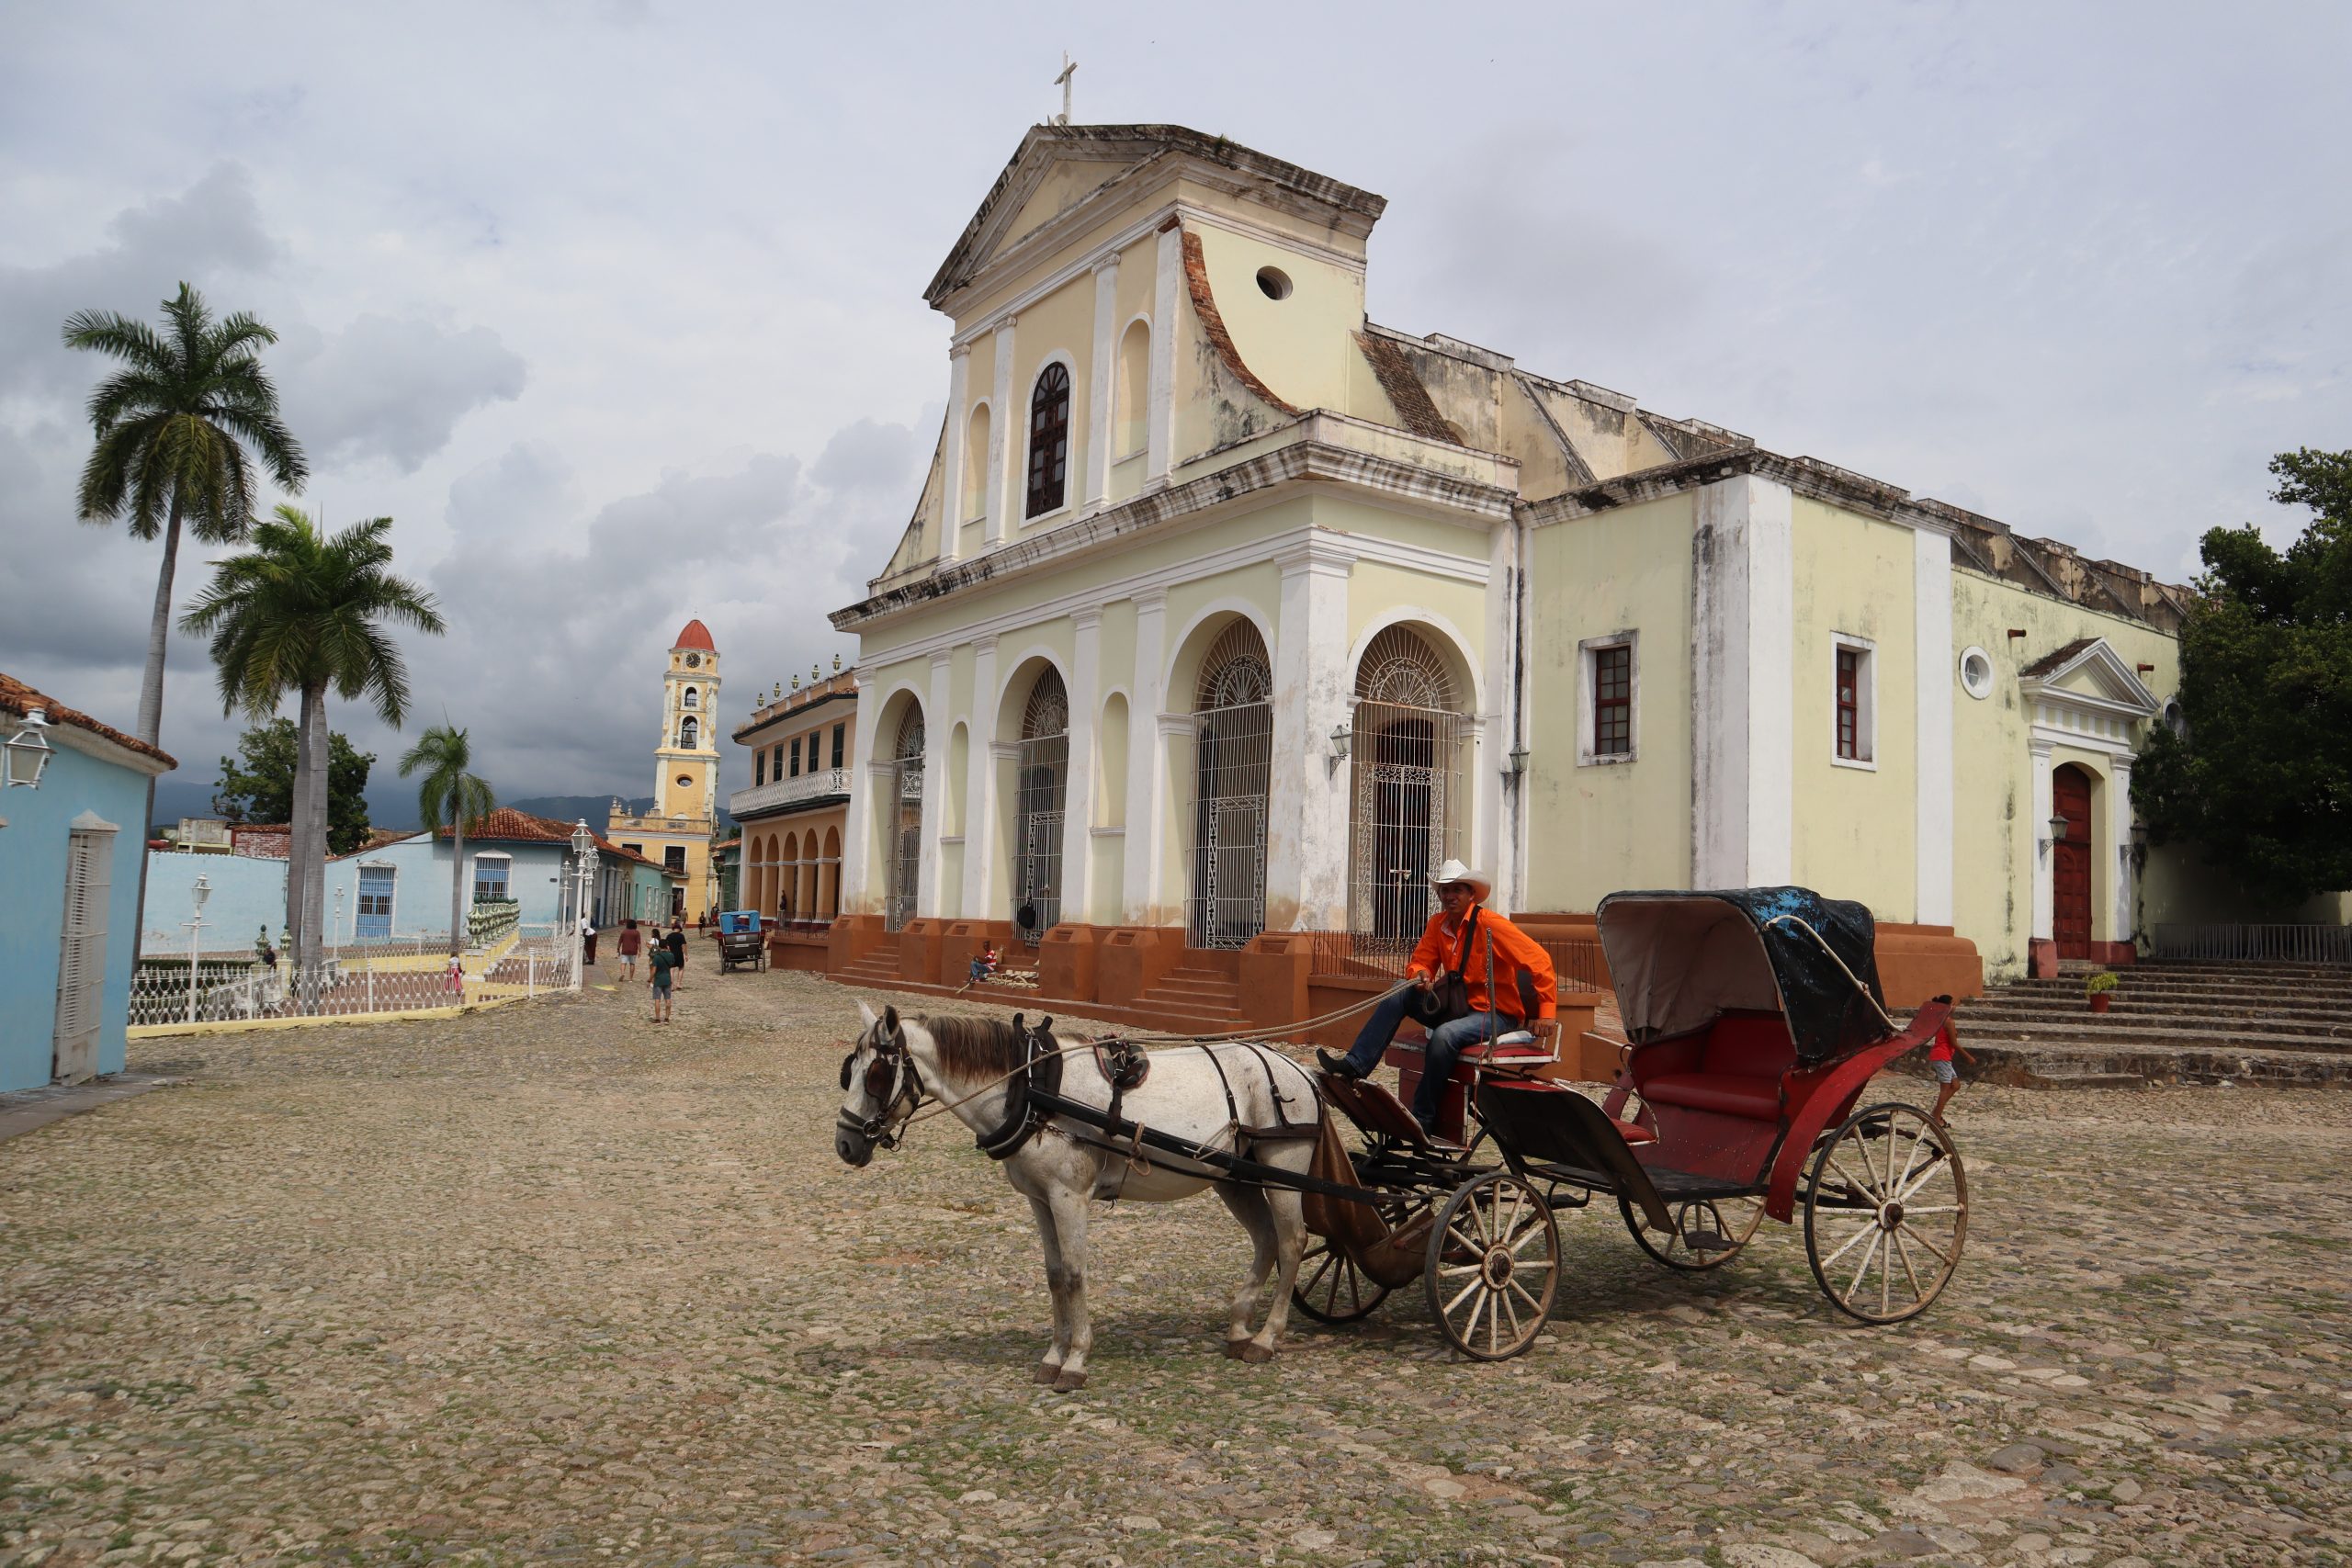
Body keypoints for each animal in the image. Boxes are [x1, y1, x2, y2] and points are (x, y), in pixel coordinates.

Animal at [837, 1006, 1326, 1382]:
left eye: (877, 1074)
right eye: (850, 1072)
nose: (844, 1143)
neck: (1031, 1088)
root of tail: (1299, 1069)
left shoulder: (1068, 1196)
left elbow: (1074, 1274)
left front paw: (1075, 1360)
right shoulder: (1039, 1199)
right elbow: (1054, 1275)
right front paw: (1053, 1356)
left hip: (1283, 1170)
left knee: (1291, 1242)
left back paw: (1267, 1337)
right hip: (1235, 1179)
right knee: (1265, 1240)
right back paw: (1241, 1328)